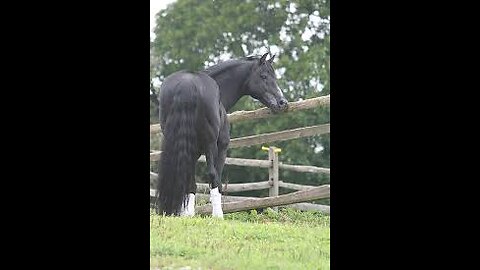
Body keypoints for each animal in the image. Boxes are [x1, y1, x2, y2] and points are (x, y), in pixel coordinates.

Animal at [157, 52, 288, 217]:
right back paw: (218, 215)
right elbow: (216, 178)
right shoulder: (221, 148)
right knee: (212, 175)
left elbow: (190, 181)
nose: (283, 103)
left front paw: (188, 214)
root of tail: (187, 85)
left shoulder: (192, 152)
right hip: (211, 145)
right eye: (263, 76)